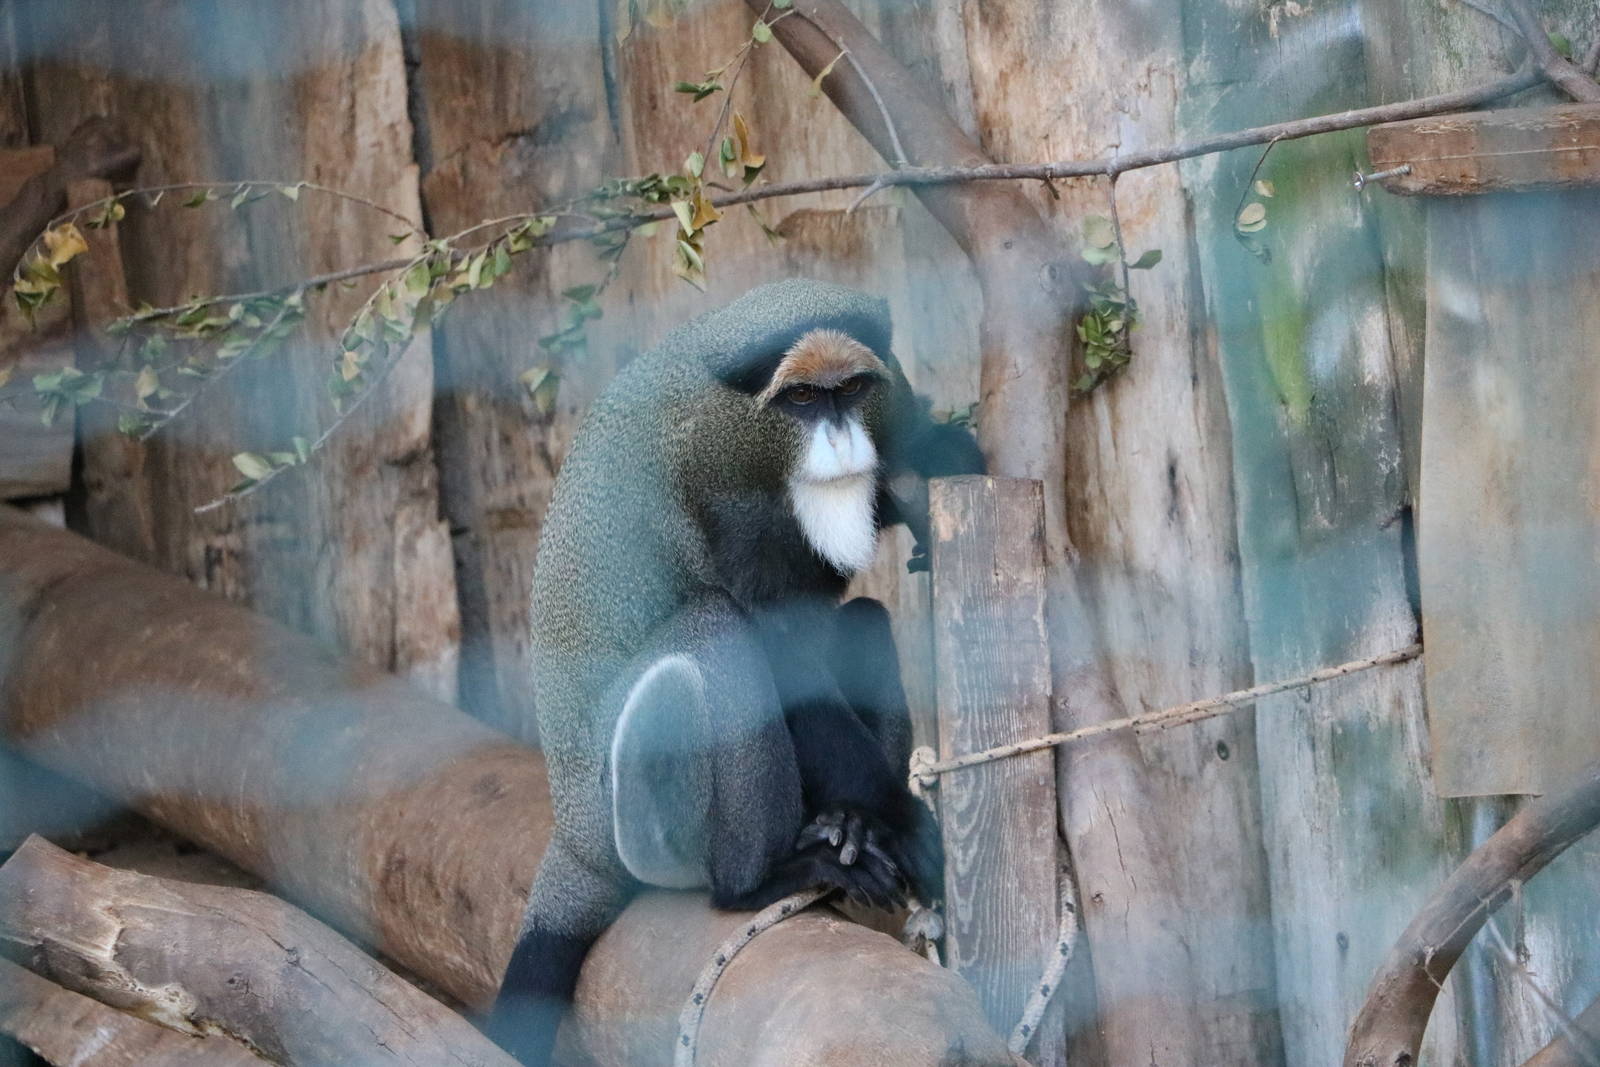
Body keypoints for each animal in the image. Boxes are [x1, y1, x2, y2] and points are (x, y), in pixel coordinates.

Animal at [486, 278, 984, 1064]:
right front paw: (905, 822)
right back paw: (763, 878)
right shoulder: (721, 488)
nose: (842, 439)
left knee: (863, 620)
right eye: (802, 398)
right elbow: (773, 637)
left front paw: (938, 451)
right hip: (641, 821)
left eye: (851, 390)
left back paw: (842, 825)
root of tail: (575, 841)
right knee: (716, 632)